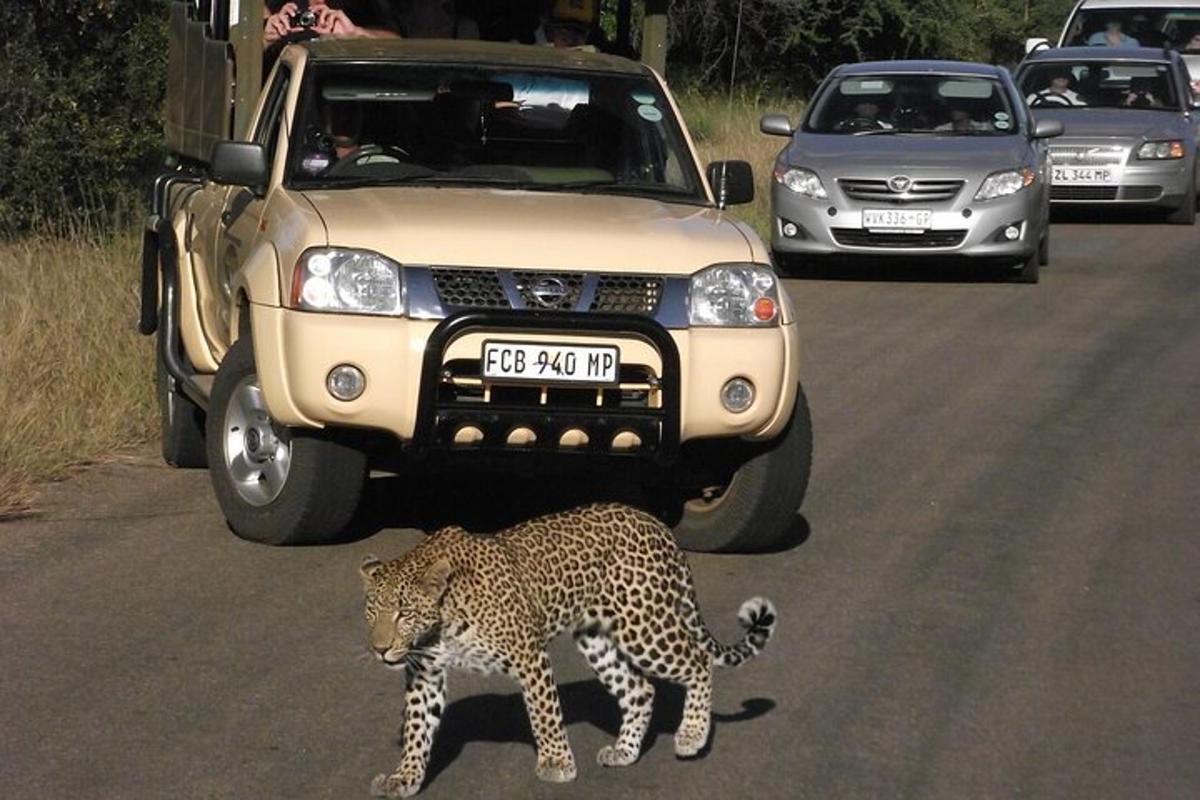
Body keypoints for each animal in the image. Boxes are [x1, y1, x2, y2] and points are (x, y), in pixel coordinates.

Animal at [357, 503, 777, 796]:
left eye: (403, 614)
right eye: (372, 612)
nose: (380, 649)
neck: (441, 621)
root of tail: (656, 523)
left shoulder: (529, 654)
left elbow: (544, 713)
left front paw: (556, 763)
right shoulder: (424, 674)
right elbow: (417, 729)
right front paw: (404, 778)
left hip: (644, 626)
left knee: (698, 661)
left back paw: (691, 735)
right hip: (597, 639)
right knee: (640, 689)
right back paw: (624, 751)